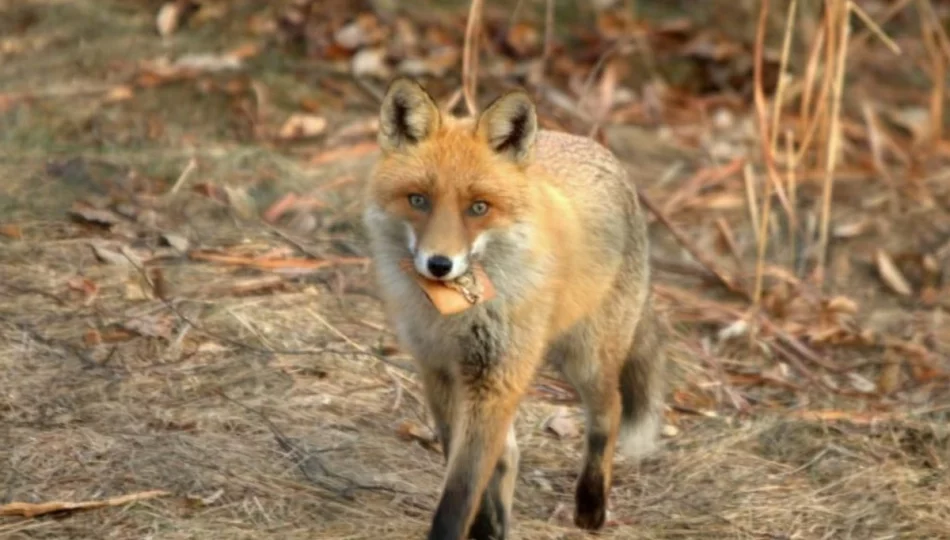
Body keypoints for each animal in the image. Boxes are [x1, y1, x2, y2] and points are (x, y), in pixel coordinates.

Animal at [360, 77, 664, 540]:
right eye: (418, 200)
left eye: (478, 207)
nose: (439, 264)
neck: (455, 316)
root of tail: (596, 147)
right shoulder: (439, 371)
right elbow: (468, 462)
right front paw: (486, 526)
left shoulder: (496, 377)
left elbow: (461, 490)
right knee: (510, 454)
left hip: (585, 359)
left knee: (608, 412)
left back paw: (591, 504)